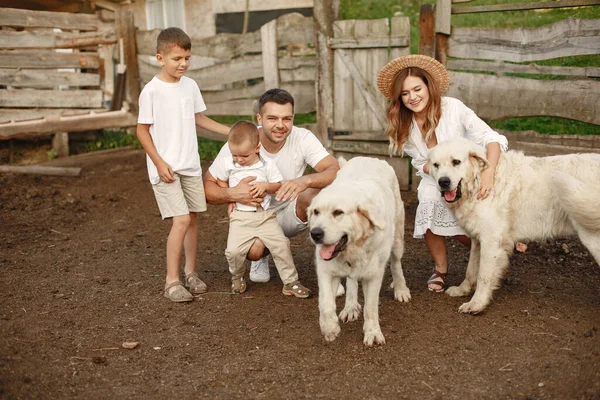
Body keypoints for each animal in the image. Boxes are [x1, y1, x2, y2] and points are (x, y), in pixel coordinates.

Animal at [308, 155, 410, 344]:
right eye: (316, 212)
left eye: (338, 212)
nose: (315, 233)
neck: (352, 249)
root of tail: (369, 157)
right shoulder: (326, 270)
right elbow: (325, 303)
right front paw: (330, 328)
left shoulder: (374, 275)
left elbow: (370, 307)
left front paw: (372, 332)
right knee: (352, 281)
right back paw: (350, 306)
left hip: (398, 239)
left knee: (396, 262)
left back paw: (401, 289)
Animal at [426, 139, 600, 314]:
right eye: (436, 165)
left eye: (456, 162)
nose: (443, 182)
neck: (479, 180)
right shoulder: (477, 240)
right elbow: (470, 270)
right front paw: (462, 290)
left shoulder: (491, 241)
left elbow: (483, 276)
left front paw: (477, 303)